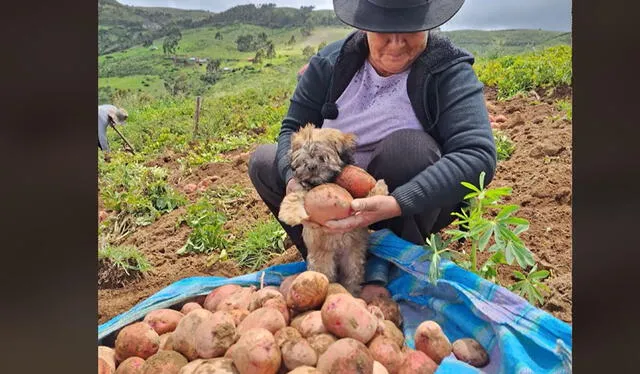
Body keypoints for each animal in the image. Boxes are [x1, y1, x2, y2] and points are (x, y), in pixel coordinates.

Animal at [278, 125, 388, 296]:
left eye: (322, 158)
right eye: (303, 161)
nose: (311, 167)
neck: (325, 181)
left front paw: (380, 189)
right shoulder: (305, 190)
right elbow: (296, 195)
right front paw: (291, 214)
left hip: (352, 259)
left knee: (352, 277)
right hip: (323, 262)